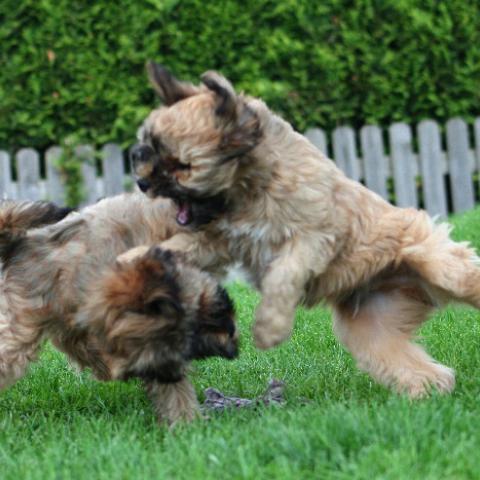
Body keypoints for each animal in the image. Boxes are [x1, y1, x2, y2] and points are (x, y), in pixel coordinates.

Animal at [132, 63, 480, 400]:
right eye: (148, 149)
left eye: (182, 165)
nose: (142, 182)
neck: (252, 189)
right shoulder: (219, 242)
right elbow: (179, 245)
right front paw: (133, 258)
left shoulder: (314, 237)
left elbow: (284, 274)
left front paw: (269, 327)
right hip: (371, 325)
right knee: (413, 366)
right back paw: (429, 393)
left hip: (440, 265)